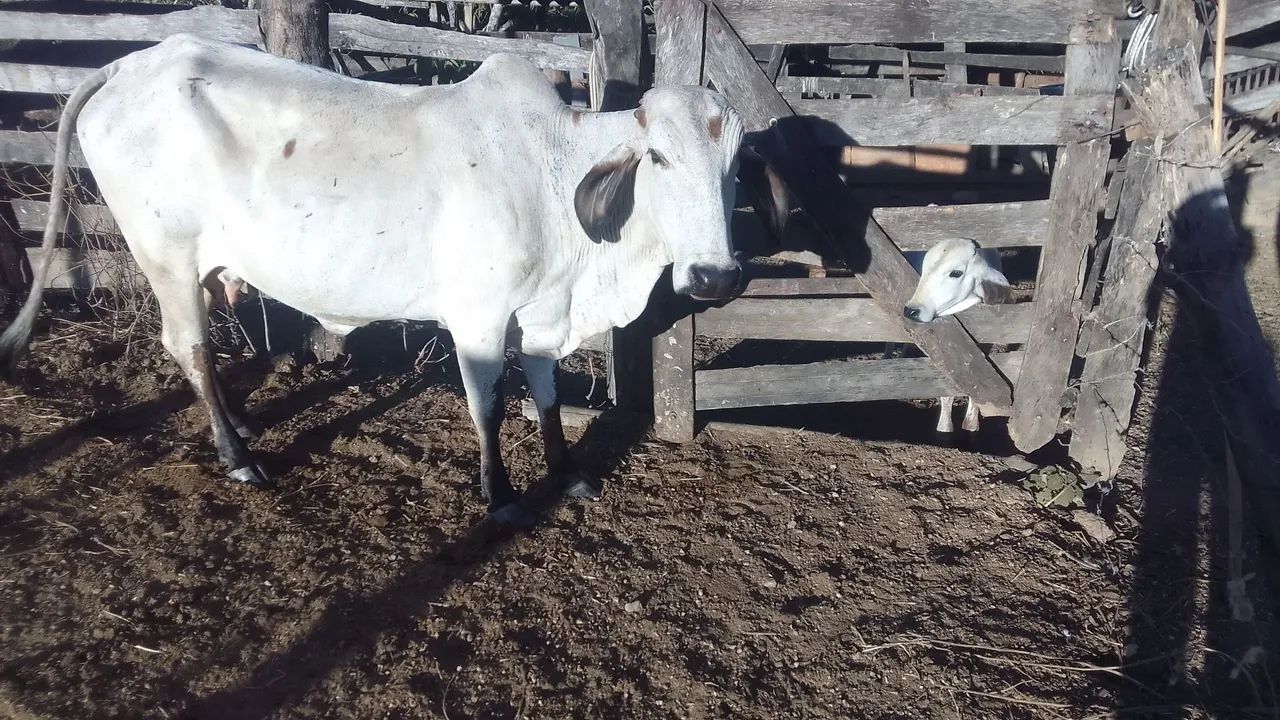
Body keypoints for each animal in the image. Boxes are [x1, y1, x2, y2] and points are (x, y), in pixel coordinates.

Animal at [0, 34, 788, 527]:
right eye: (657, 157)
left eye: (735, 167)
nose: (715, 275)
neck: (551, 172)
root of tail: (129, 66)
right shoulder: (477, 316)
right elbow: (488, 406)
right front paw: (501, 495)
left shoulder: (542, 312)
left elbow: (545, 395)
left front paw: (567, 475)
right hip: (165, 254)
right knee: (186, 344)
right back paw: (238, 457)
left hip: (209, 266)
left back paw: (244, 423)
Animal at [896, 237, 1013, 434]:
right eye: (924, 268)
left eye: (956, 273)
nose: (911, 310)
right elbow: (948, 391)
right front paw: (945, 427)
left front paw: (972, 424)